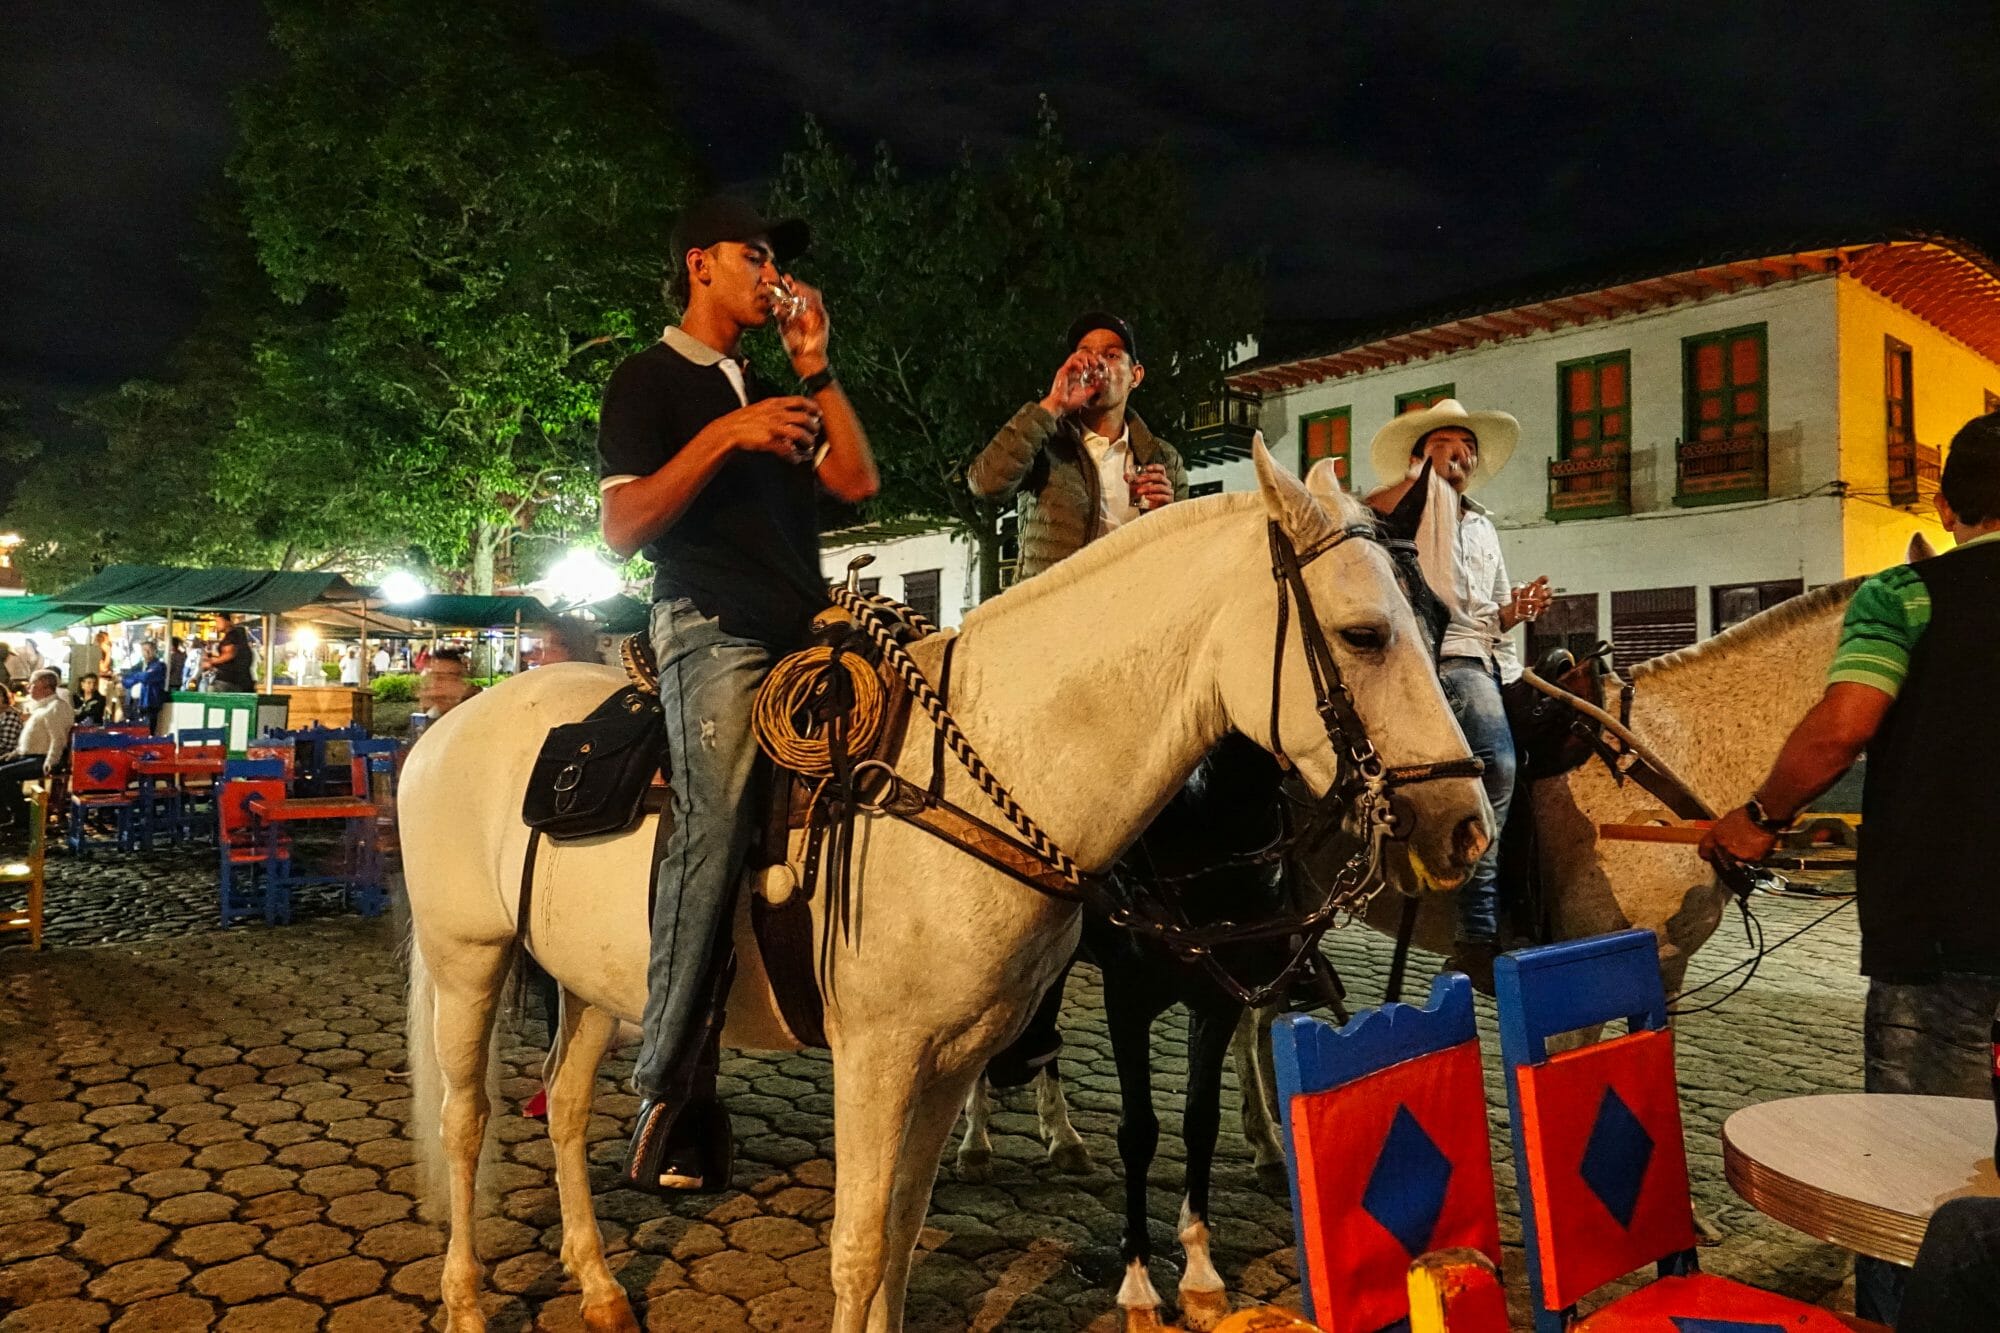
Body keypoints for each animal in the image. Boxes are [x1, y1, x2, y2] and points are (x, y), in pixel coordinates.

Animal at [398, 446, 1496, 1328]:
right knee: (466, 1119)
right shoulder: (876, 1059)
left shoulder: (950, 1058)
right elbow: (856, 1248)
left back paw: (596, 1284)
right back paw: (465, 1297)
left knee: (565, 1106)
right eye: (1363, 633)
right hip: (468, 959)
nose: (1467, 823)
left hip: (590, 984)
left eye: (1435, 617)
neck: (970, 778)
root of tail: (450, 725)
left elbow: (898, 1233)